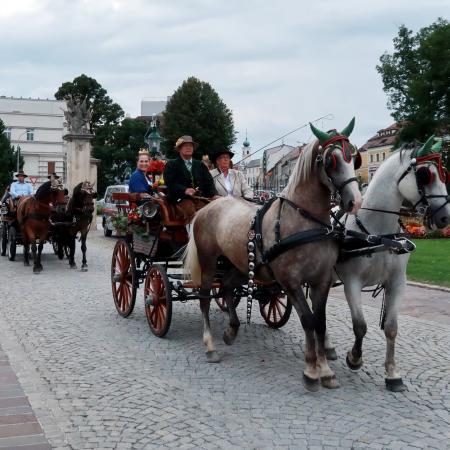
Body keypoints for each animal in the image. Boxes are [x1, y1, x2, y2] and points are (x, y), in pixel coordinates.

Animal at [183, 119, 362, 390]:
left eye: (354, 156)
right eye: (331, 160)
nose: (355, 201)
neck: (305, 221)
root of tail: (209, 206)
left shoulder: (321, 280)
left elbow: (320, 322)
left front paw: (326, 370)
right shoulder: (291, 281)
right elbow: (308, 320)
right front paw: (311, 371)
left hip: (240, 264)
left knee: (226, 287)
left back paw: (232, 330)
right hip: (208, 261)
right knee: (205, 297)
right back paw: (210, 345)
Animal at [326, 135, 450, 392]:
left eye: (444, 174)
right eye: (425, 175)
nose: (445, 217)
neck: (378, 234)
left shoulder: (397, 282)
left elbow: (392, 328)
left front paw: (392, 373)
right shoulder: (351, 282)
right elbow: (360, 325)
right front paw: (354, 358)